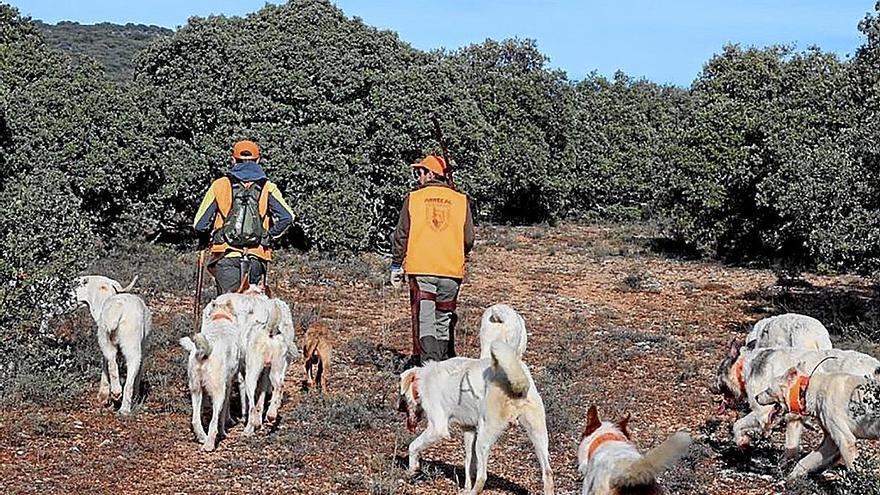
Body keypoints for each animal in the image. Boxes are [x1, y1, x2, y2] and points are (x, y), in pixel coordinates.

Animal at [77, 274, 151, 412]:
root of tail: (117, 311)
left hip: (105, 341)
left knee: (112, 363)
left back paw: (115, 392)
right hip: (132, 348)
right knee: (129, 382)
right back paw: (124, 409)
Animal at [180, 298, 244, 454]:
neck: (220, 317)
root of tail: (205, 351)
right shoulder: (228, 385)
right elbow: (223, 413)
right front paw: (225, 427)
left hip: (195, 390)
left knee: (195, 420)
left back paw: (202, 437)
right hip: (218, 393)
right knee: (214, 422)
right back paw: (209, 444)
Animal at [400, 342, 556, 494]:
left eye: (402, 399)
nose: (399, 409)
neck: (424, 378)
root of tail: (512, 383)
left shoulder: (437, 428)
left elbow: (413, 446)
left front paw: (412, 469)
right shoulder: (469, 429)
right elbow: (469, 461)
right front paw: (466, 485)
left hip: (483, 439)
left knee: (482, 477)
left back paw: (472, 491)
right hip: (538, 436)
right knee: (548, 473)